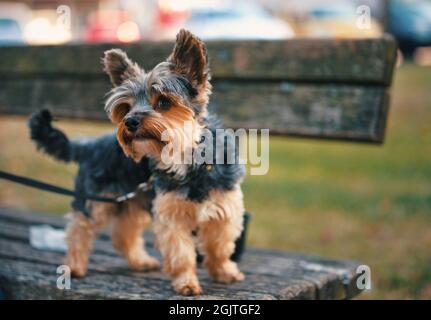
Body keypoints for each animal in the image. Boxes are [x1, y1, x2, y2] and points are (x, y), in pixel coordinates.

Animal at [28, 29, 246, 296]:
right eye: (126, 107)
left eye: (163, 102)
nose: (130, 121)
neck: (189, 157)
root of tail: (90, 145)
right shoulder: (170, 214)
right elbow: (181, 253)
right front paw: (186, 282)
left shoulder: (224, 209)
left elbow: (219, 246)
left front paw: (224, 272)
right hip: (95, 199)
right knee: (80, 229)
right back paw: (75, 266)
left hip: (132, 201)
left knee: (124, 234)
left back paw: (140, 261)